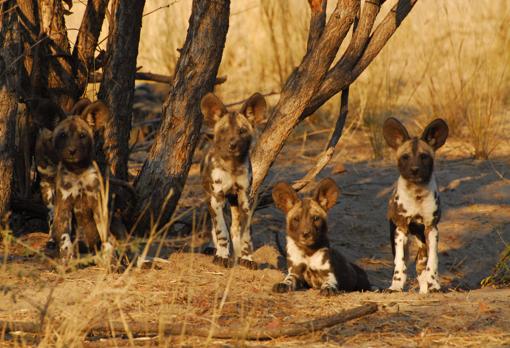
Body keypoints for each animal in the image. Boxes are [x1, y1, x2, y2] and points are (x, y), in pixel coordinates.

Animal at [200, 92, 266, 270]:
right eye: (223, 131)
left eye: (242, 131)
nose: (232, 144)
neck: (232, 166)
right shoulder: (217, 199)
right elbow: (221, 230)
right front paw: (222, 256)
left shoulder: (245, 200)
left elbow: (246, 234)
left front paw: (246, 257)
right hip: (211, 199)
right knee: (215, 226)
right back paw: (216, 248)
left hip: (235, 202)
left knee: (235, 227)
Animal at [382, 117, 450, 294]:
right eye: (405, 157)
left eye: (424, 157)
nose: (414, 170)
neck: (417, 193)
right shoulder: (401, 230)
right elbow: (400, 263)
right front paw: (396, 286)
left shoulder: (431, 229)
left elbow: (433, 261)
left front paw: (434, 284)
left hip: (422, 241)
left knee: (421, 265)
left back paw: (425, 289)